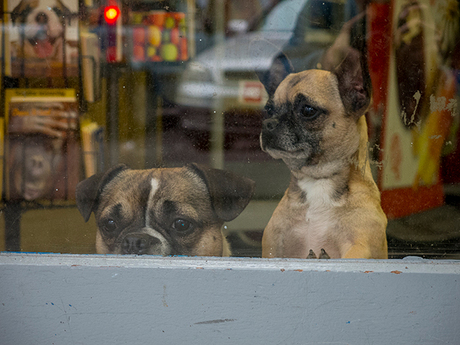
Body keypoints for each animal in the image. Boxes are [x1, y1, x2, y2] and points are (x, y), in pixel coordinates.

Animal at [260, 53, 386, 258]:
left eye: (308, 110)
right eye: (269, 110)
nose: (268, 124)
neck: (317, 180)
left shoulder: (359, 244)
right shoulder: (273, 248)